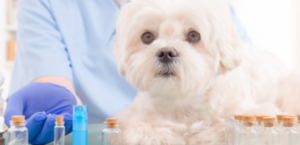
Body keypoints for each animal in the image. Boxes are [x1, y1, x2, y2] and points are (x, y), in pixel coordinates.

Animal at [112, 0, 300, 144]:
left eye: (194, 35)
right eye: (147, 37)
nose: (166, 53)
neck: (183, 101)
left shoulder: (254, 113)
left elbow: (220, 129)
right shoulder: (133, 118)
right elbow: (141, 128)